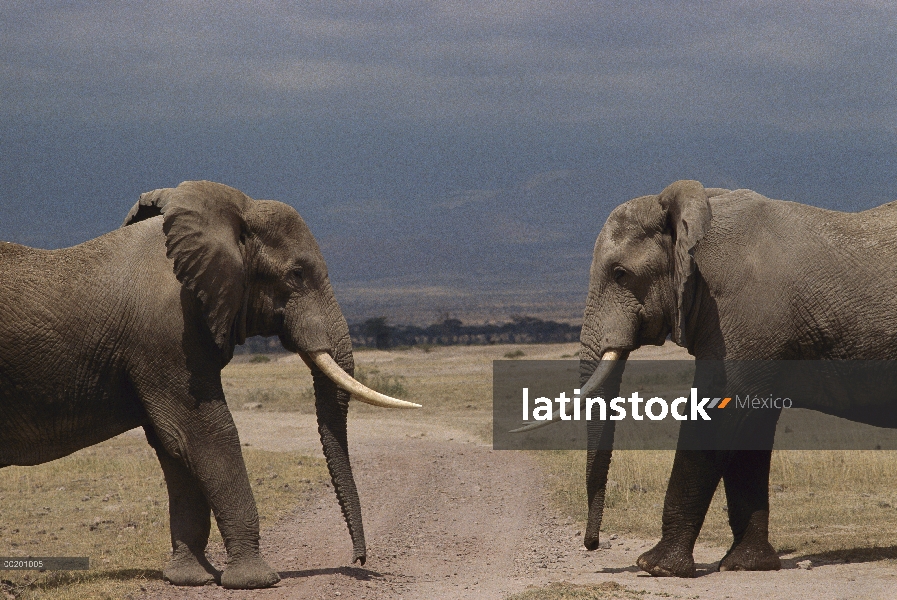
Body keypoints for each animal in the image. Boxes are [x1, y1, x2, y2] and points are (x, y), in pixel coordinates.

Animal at [0, 180, 418, 588]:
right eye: (297, 274)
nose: (359, 559)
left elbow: (174, 446)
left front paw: (190, 578)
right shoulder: (169, 335)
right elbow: (205, 434)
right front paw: (256, 580)